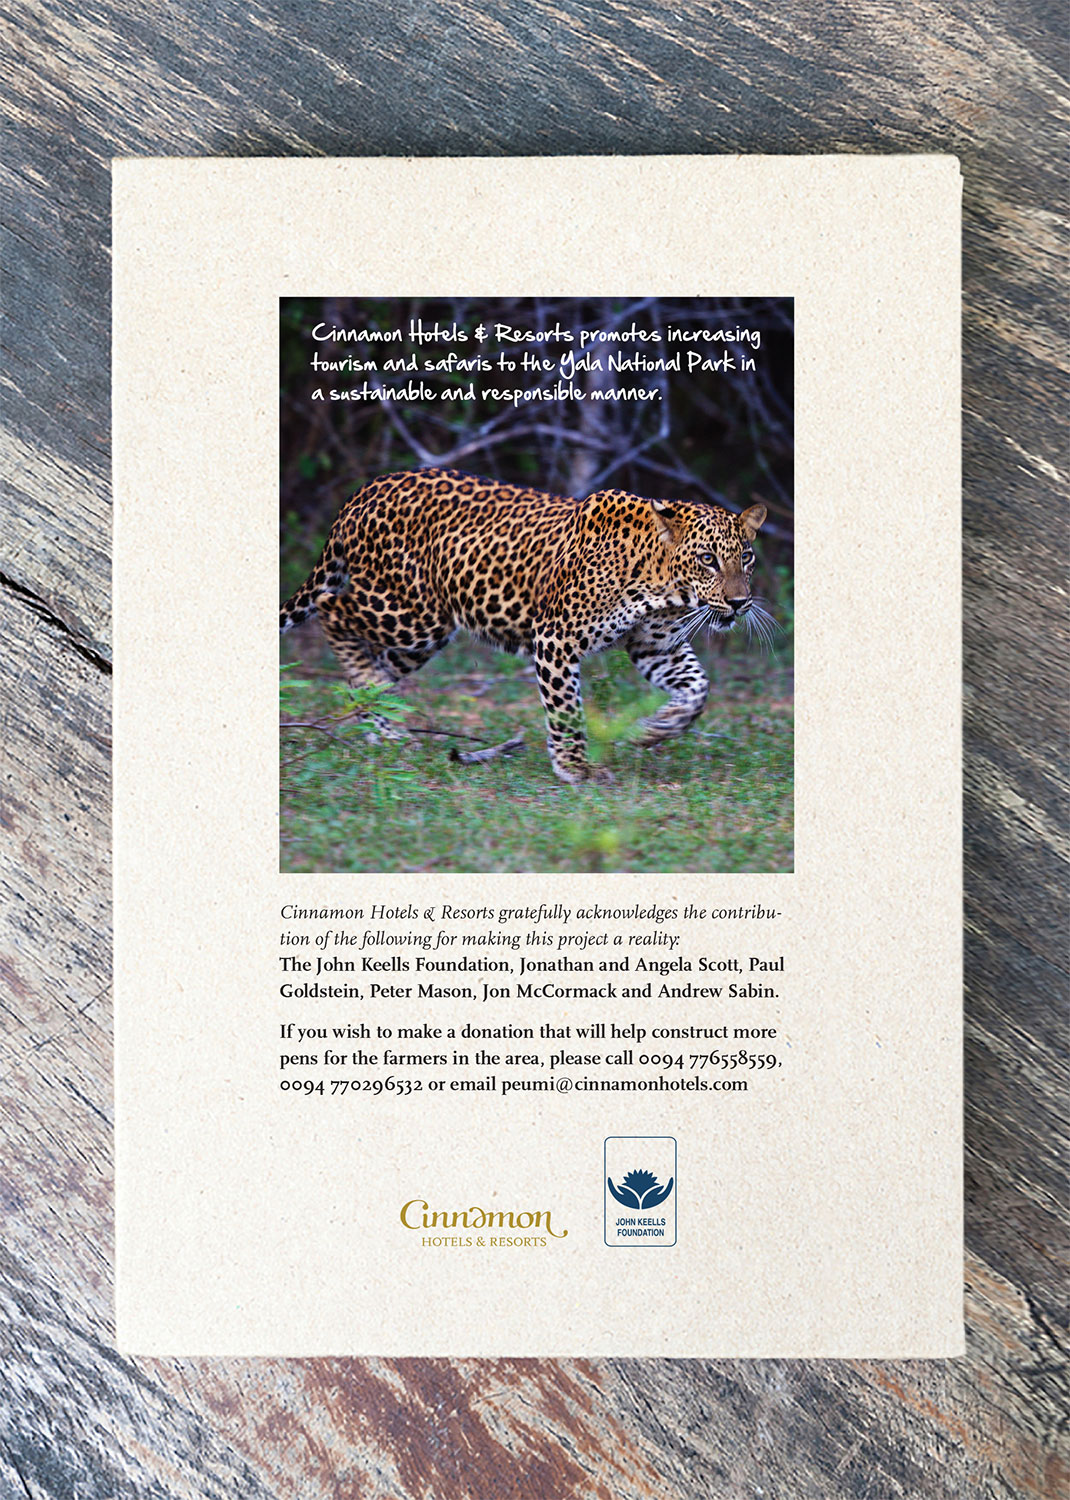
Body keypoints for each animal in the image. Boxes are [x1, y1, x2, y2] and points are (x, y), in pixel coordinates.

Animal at [280, 467, 769, 785]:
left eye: (746, 557)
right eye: (707, 559)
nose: (739, 602)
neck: (664, 588)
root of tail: (363, 492)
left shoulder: (657, 648)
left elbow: (698, 689)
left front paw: (656, 730)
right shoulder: (556, 638)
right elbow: (566, 709)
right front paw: (575, 767)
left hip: (425, 634)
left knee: (379, 661)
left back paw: (384, 721)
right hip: (409, 611)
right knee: (331, 608)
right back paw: (370, 693)